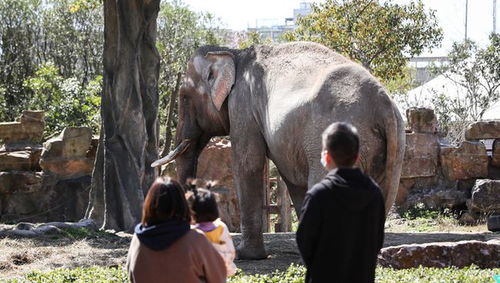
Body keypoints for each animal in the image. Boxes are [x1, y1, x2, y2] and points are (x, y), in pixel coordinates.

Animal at [152, 41, 406, 260]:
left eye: (185, 97)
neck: (233, 53)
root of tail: (384, 105)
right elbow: (291, 179)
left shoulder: (242, 105)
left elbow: (248, 163)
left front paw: (245, 255)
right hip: (390, 147)